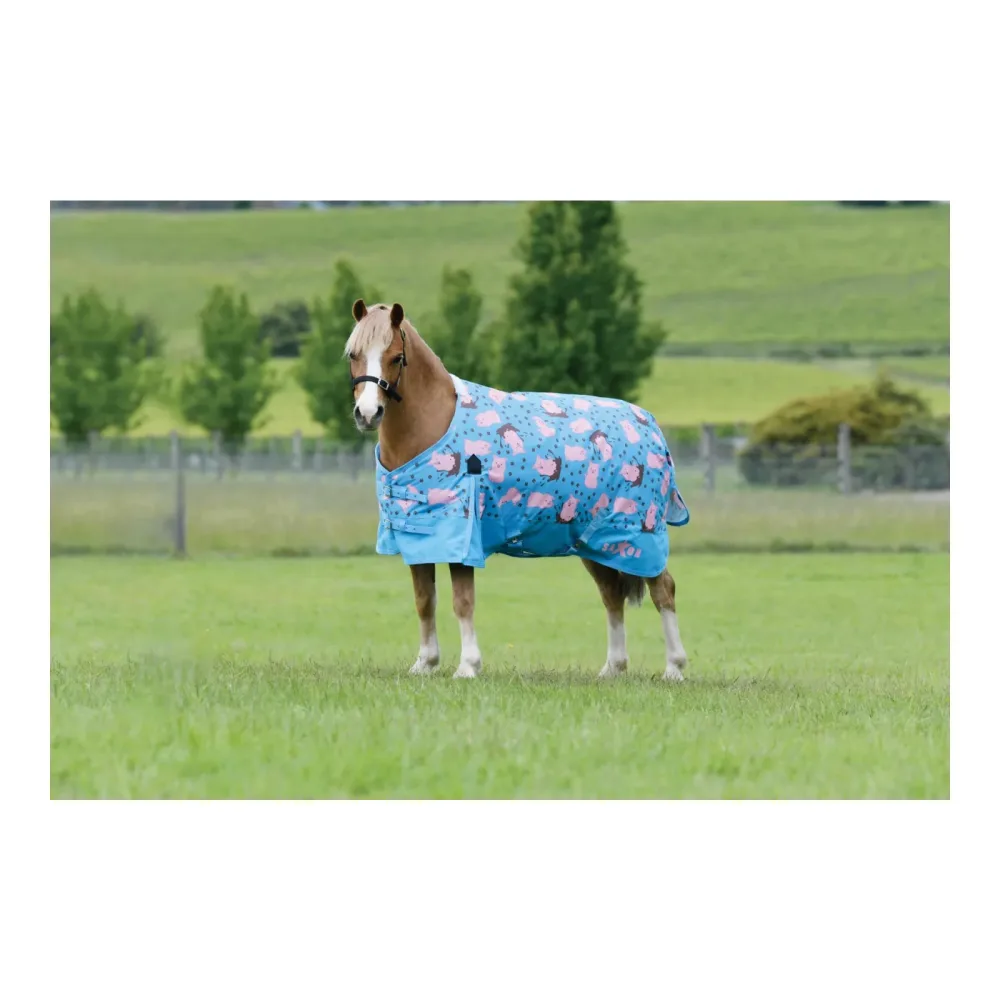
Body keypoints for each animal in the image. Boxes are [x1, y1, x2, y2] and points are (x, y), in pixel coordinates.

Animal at [346, 299, 691, 681]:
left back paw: (674, 668)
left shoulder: (463, 539)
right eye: (353, 354)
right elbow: (424, 601)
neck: (432, 425)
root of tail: (650, 425)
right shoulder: (419, 537)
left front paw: (467, 666)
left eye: (395, 357)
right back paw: (612, 669)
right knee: (612, 594)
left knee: (663, 589)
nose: (368, 413)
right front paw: (425, 663)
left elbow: (462, 601)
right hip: (594, 541)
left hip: (639, 535)